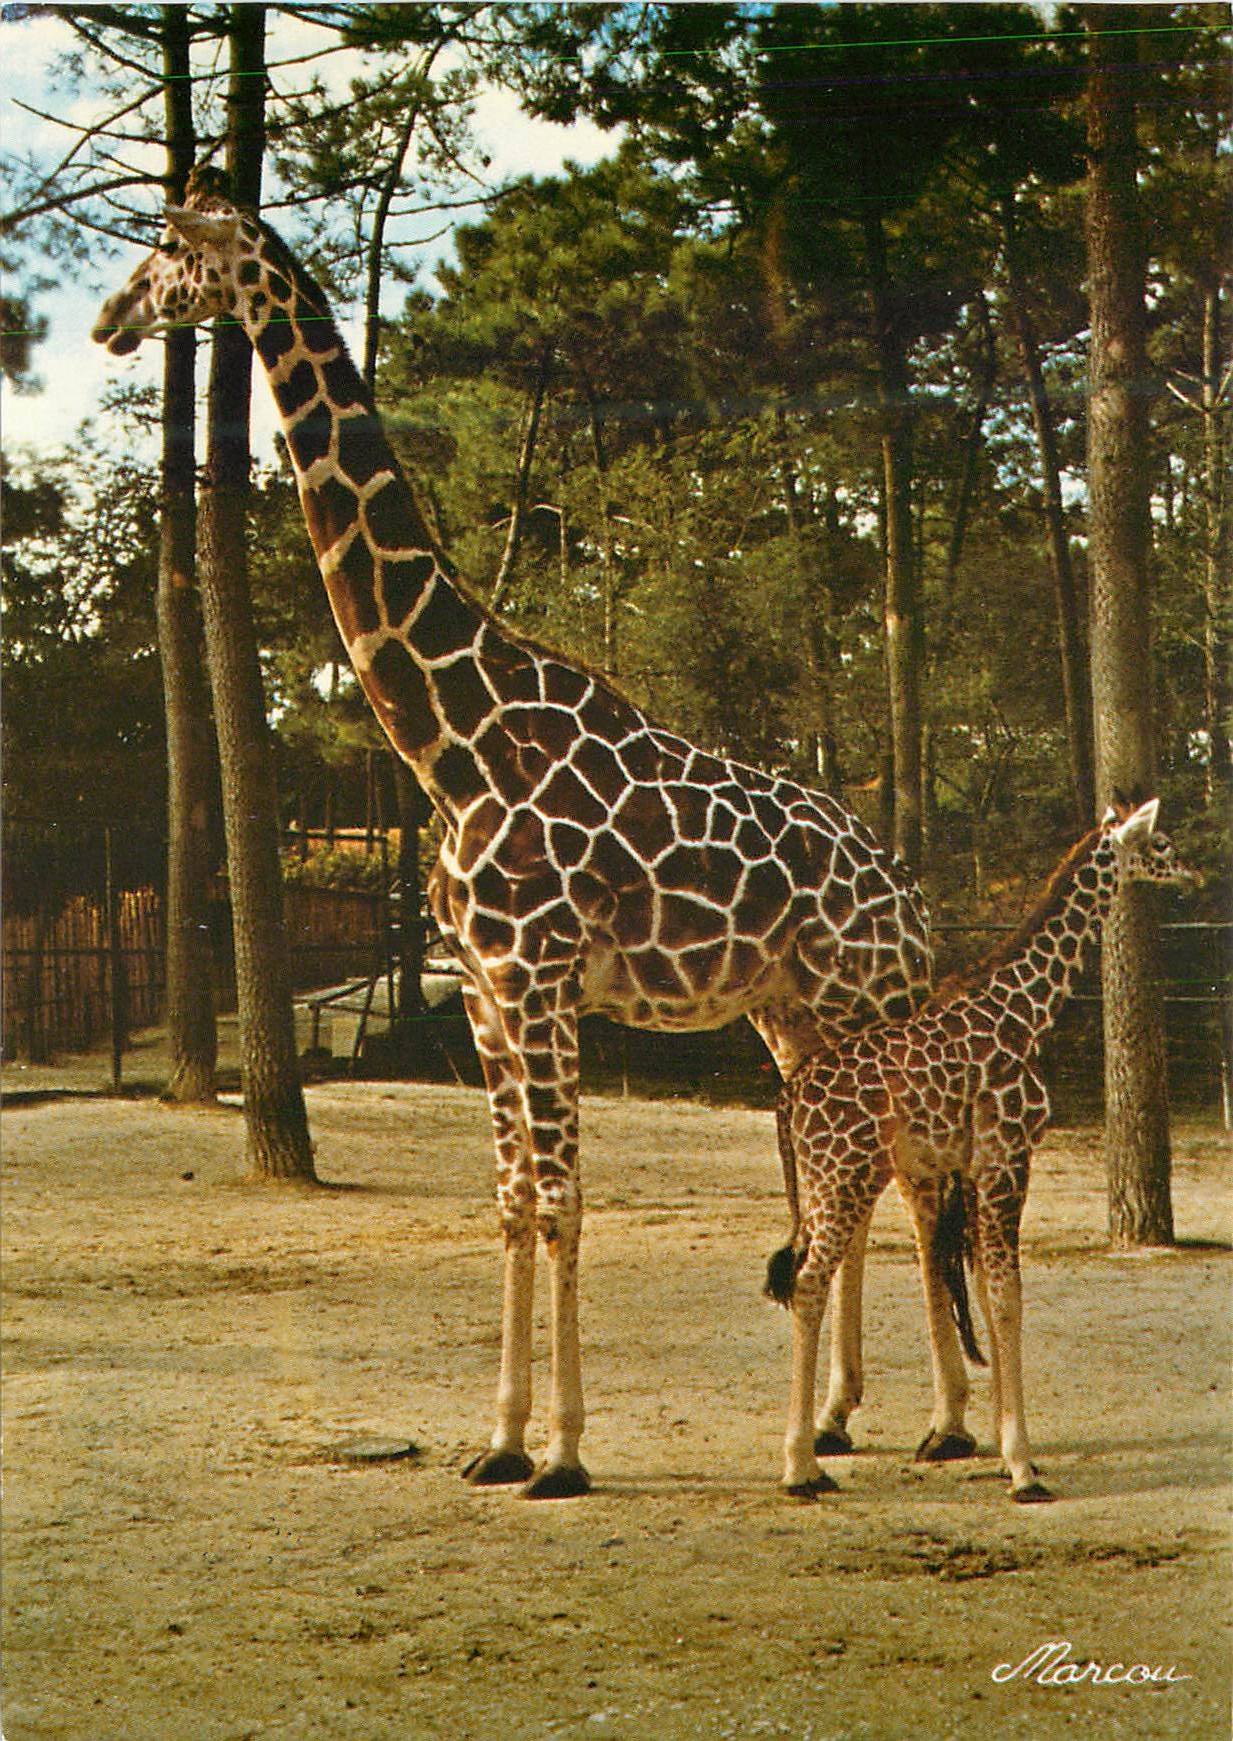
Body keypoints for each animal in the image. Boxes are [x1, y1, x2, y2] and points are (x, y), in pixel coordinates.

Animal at [93, 168, 933, 1498]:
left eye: (174, 248)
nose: (109, 320)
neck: (458, 743)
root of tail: (912, 895)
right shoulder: (486, 990)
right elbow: (507, 1199)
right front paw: (497, 1438)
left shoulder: (540, 979)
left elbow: (564, 1198)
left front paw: (567, 1452)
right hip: (794, 1019)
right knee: (853, 1177)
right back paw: (846, 1416)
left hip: (865, 1007)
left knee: (907, 1173)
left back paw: (933, 1423)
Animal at [766, 797, 1195, 1502]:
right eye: (1159, 843)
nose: (1191, 870)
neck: (1027, 1010)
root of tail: (790, 1098)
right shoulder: (1008, 1155)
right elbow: (1006, 1293)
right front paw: (1021, 1467)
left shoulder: (973, 1167)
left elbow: (985, 1294)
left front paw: (1002, 1450)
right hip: (844, 1173)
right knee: (805, 1284)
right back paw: (801, 1467)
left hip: (825, 1182)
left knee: (801, 1279)